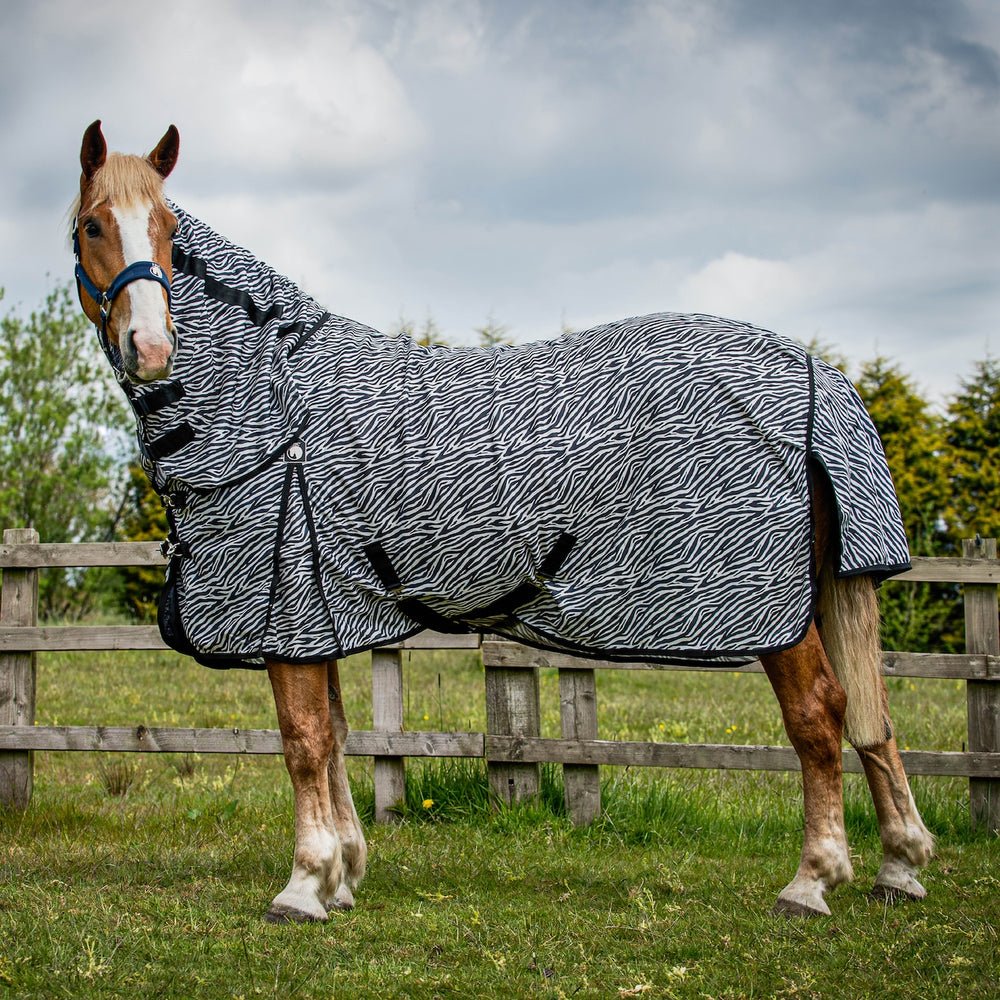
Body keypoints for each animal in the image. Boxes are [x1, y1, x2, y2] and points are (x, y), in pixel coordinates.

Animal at [71, 120, 933, 922]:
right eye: (94, 226)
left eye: (169, 230)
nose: (151, 346)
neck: (274, 398)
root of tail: (814, 372)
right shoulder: (318, 613)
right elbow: (337, 735)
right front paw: (344, 874)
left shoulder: (285, 612)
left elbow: (303, 741)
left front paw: (304, 884)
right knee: (874, 716)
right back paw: (899, 866)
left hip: (777, 613)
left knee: (820, 715)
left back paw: (813, 880)